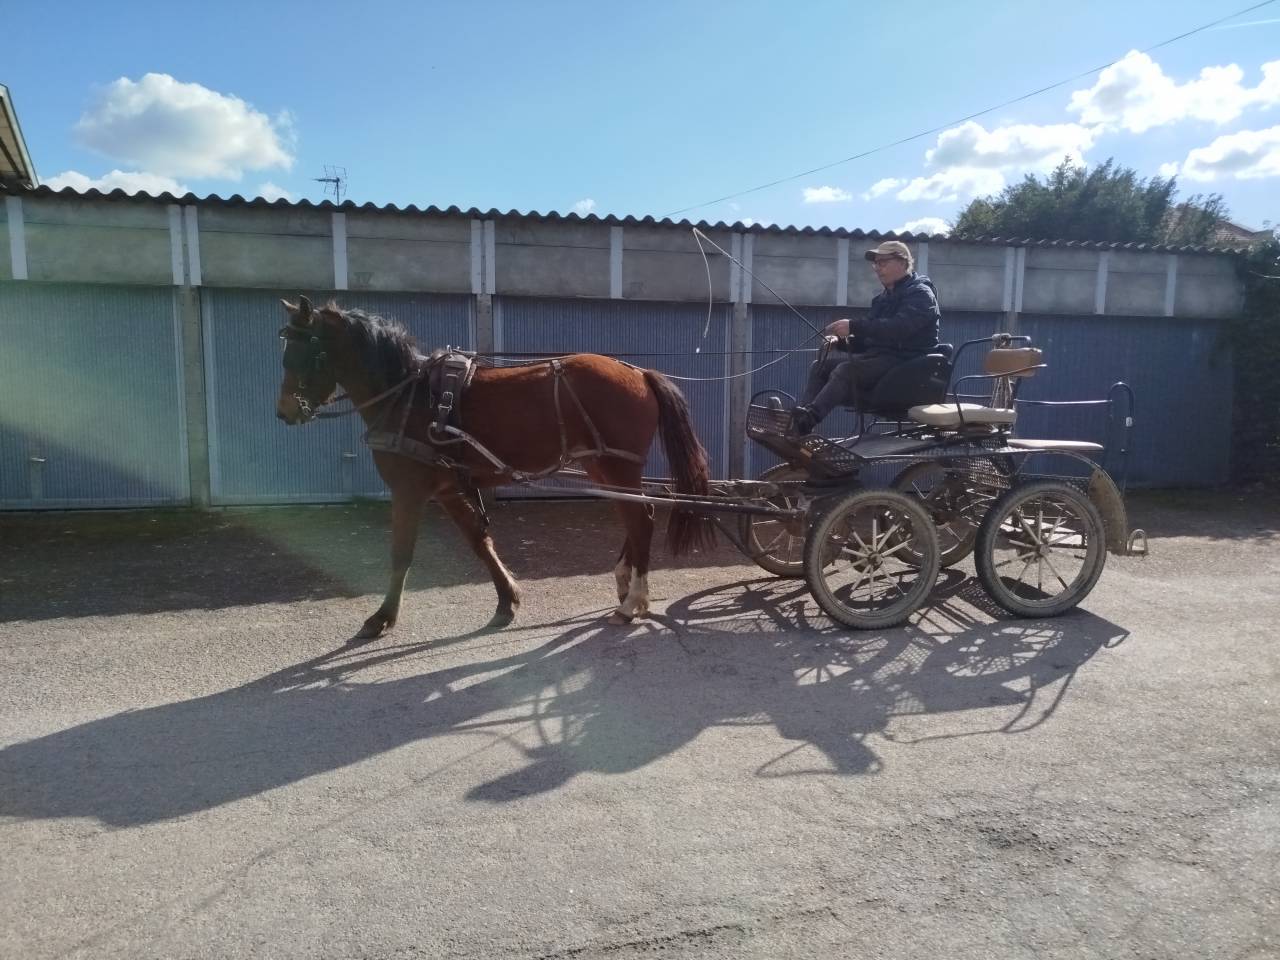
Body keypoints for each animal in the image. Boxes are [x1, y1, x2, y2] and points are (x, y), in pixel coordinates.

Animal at [275, 296, 716, 638]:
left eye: (306, 353)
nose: (283, 413)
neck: (409, 395)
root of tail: (638, 372)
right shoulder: (449, 489)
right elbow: (479, 541)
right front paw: (508, 600)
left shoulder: (409, 490)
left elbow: (401, 554)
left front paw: (382, 617)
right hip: (603, 467)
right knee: (634, 515)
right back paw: (627, 586)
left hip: (616, 464)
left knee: (641, 519)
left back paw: (633, 602)